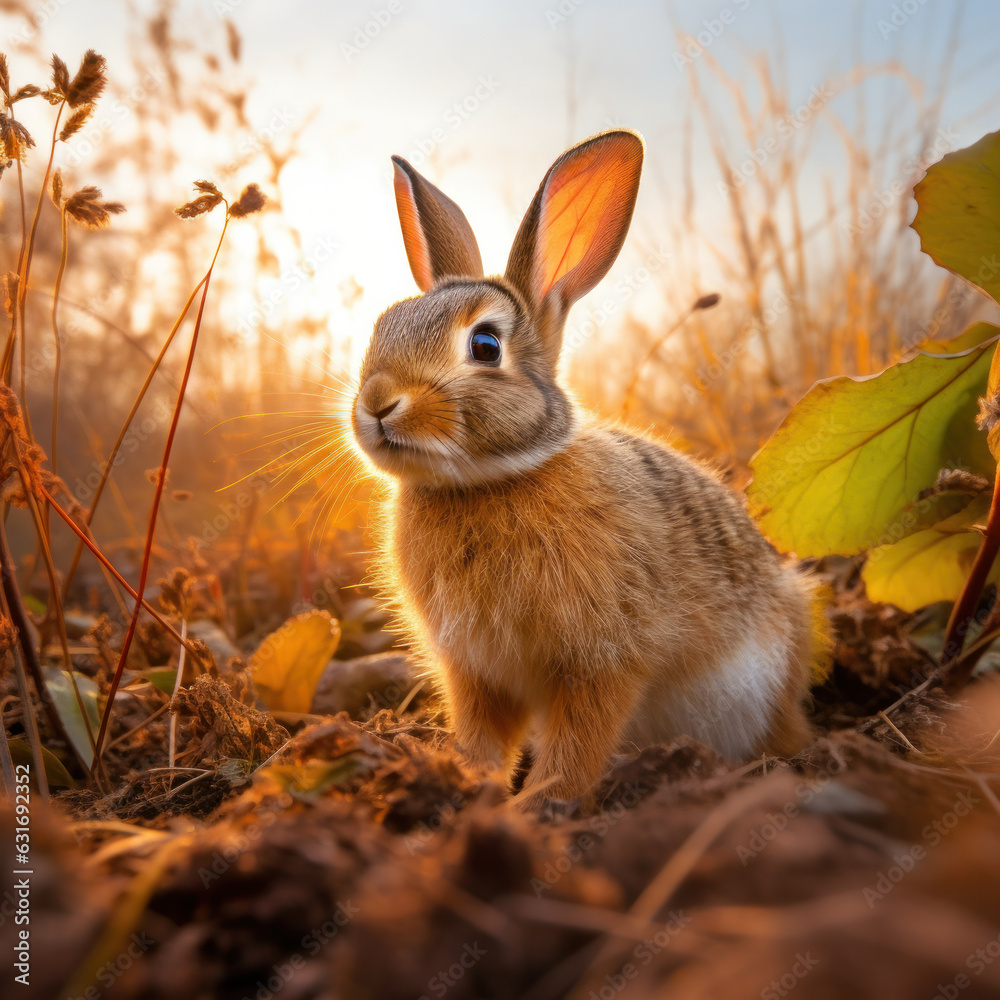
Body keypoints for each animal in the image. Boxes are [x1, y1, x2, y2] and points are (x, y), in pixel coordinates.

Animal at [352, 128, 823, 808]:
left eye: (485, 346)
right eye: (383, 324)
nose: (376, 403)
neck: (487, 480)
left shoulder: (603, 660)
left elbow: (581, 738)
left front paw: (541, 805)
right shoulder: (477, 672)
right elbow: (483, 735)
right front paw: (462, 781)